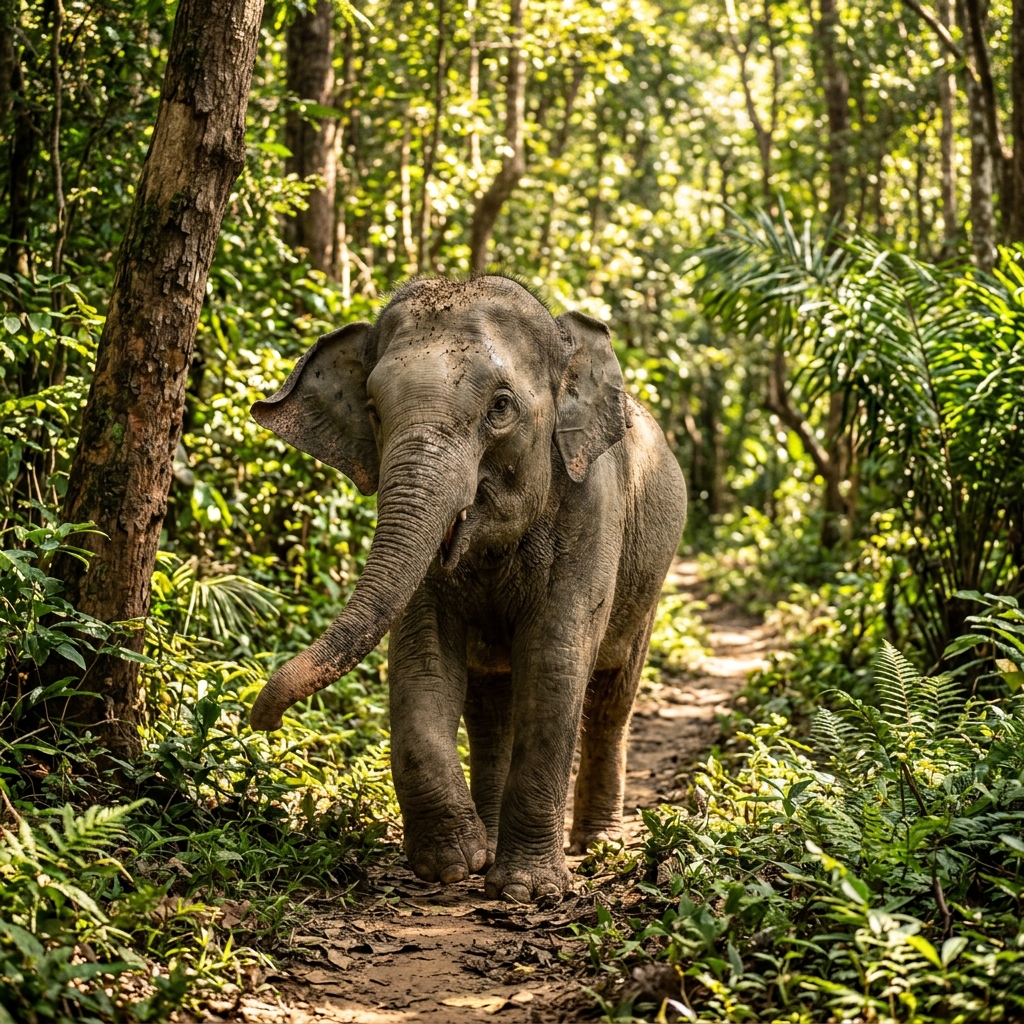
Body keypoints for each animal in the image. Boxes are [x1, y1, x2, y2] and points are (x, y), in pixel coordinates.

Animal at [249, 276, 687, 902]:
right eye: (374, 410)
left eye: (500, 407)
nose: (262, 723)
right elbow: (422, 660)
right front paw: (453, 866)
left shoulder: (594, 507)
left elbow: (555, 659)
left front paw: (526, 890)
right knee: (490, 707)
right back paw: (493, 837)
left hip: (651, 580)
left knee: (611, 696)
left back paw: (598, 844)